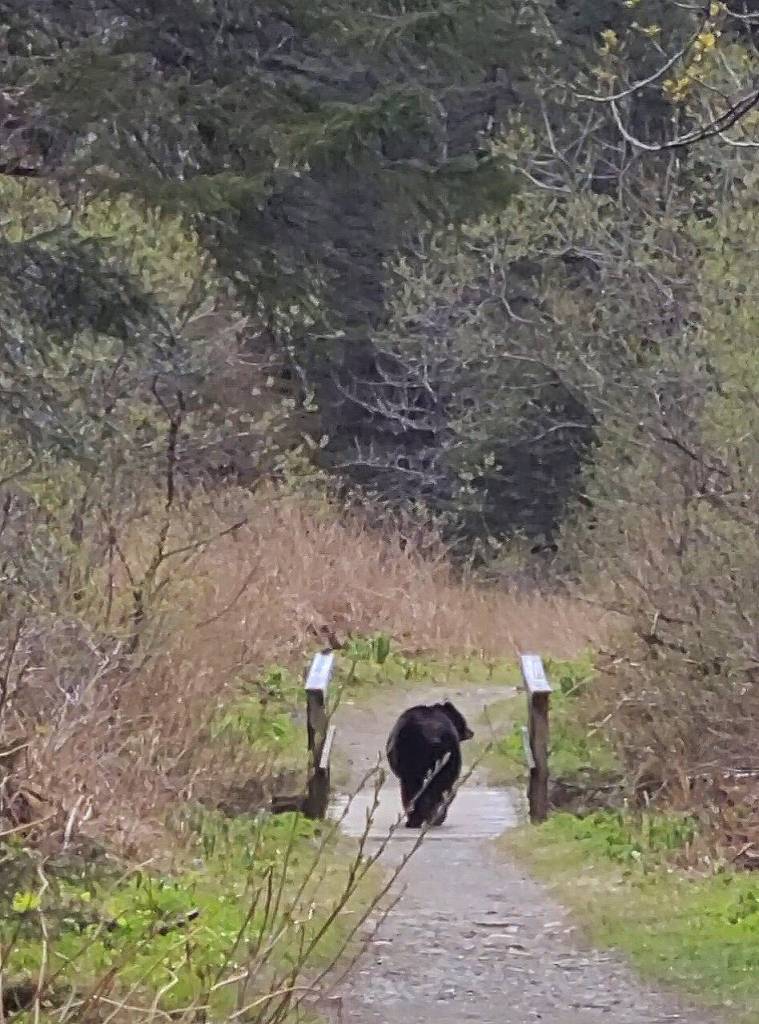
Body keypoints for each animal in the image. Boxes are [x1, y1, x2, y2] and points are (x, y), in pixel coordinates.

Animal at [385, 700, 474, 828]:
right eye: (462, 719)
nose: (471, 732)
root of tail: (433, 733)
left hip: (415, 757)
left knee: (416, 788)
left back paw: (419, 819)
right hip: (448, 756)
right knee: (441, 787)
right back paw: (433, 817)